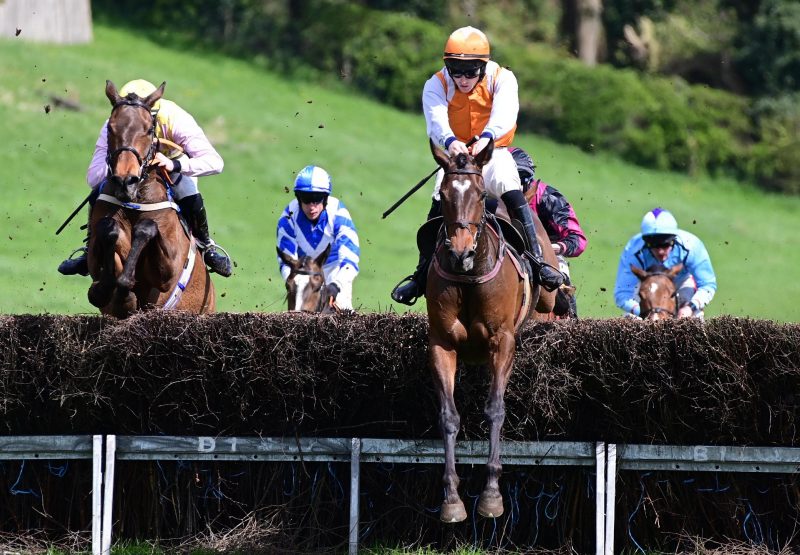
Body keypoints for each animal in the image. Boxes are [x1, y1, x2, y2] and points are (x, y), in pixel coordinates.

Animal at [86, 80, 216, 320]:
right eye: (110, 128)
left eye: (148, 129)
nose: (125, 181)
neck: (135, 200)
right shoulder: (94, 258)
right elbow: (108, 229)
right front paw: (110, 292)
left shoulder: (167, 272)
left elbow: (147, 227)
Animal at [428, 138, 548, 520]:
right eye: (444, 195)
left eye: (480, 195)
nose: (460, 253)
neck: (468, 277)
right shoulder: (441, 344)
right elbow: (448, 416)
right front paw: (452, 497)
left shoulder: (502, 341)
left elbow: (495, 408)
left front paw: (492, 495)